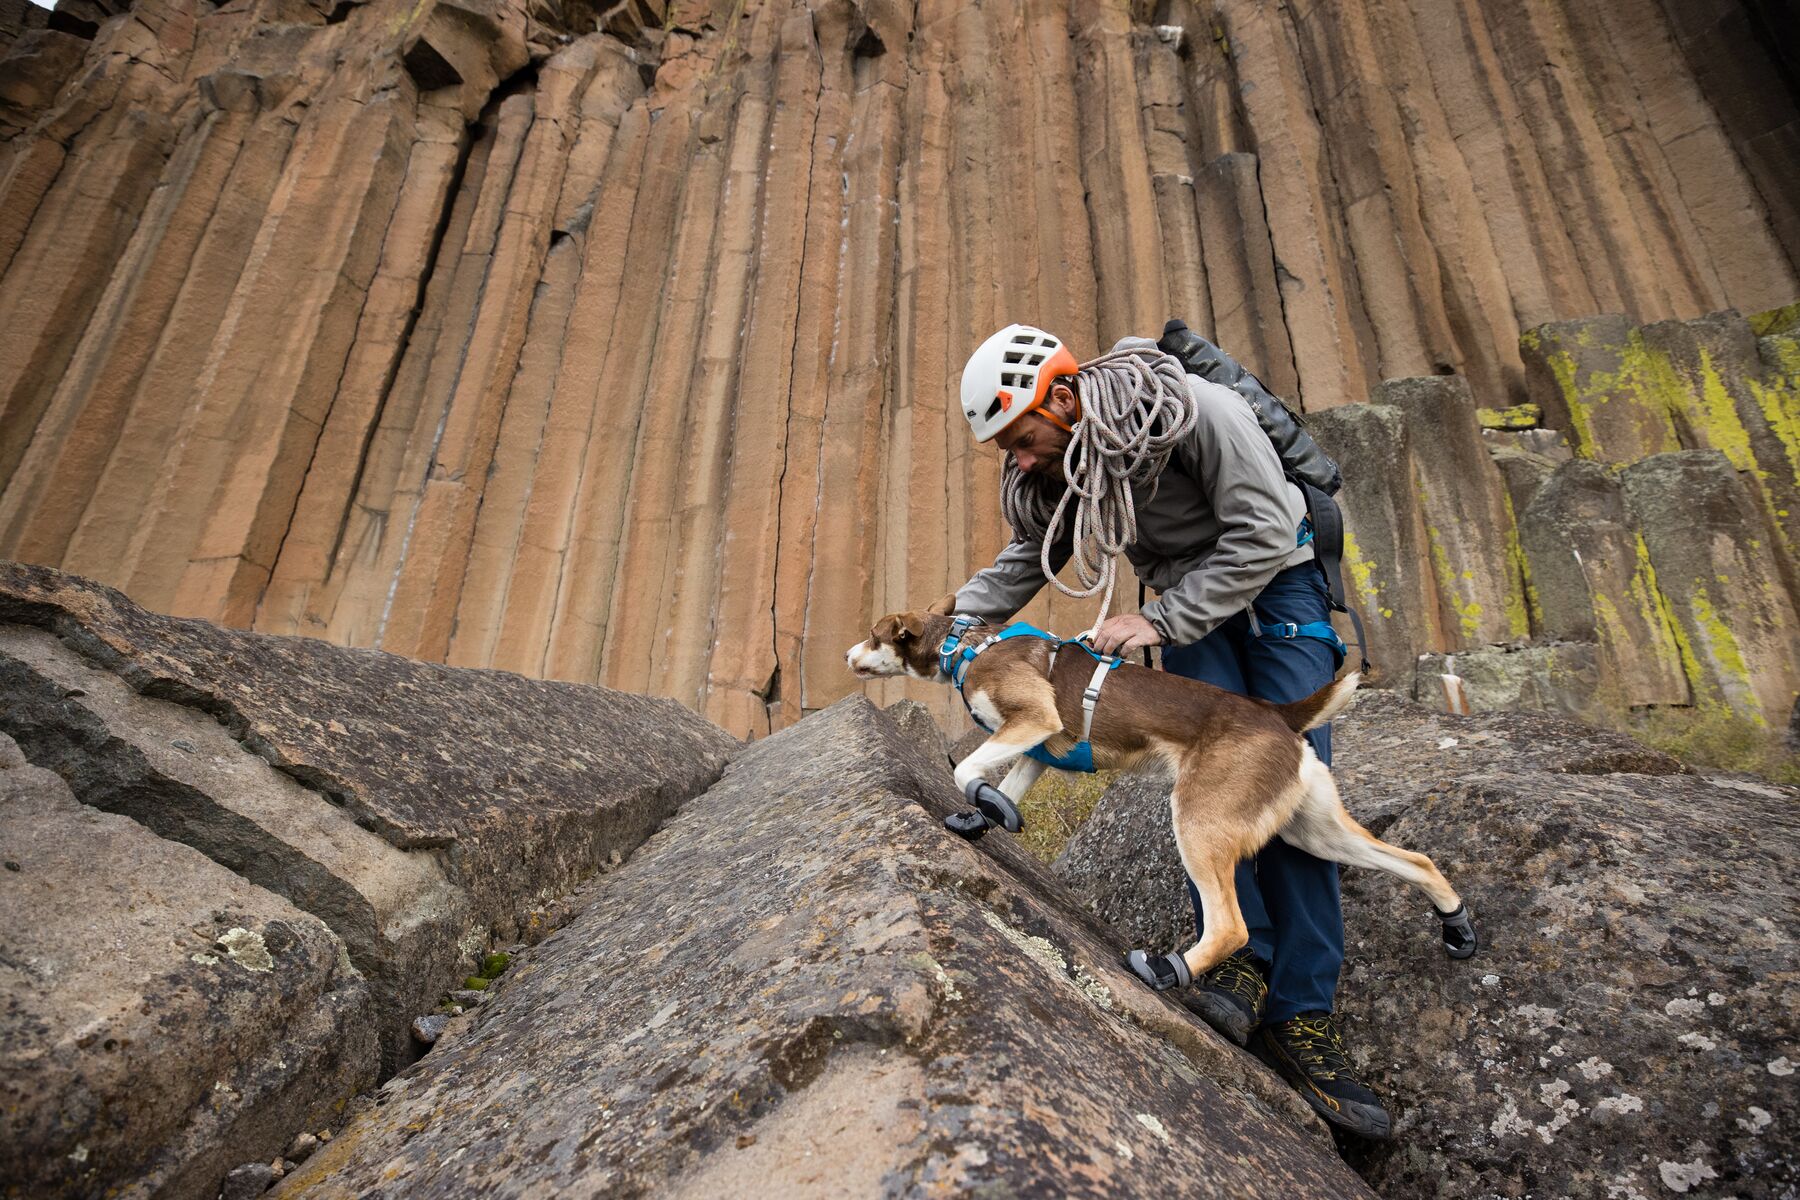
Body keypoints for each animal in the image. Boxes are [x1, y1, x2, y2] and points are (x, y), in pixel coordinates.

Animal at [842, 600, 1476, 993]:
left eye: (873, 635)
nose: (848, 656)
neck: (966, 646)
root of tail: (1279, 715)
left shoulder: (1033, 719)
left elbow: (970, 767)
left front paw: (976, 797)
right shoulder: (1038, 748)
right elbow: (1004, 793)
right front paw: (985, 815)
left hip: (1198, 820)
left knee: (1232, 928)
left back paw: (1168, 971)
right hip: (1316, 832)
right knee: (1417, 860)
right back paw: (1455, 925)